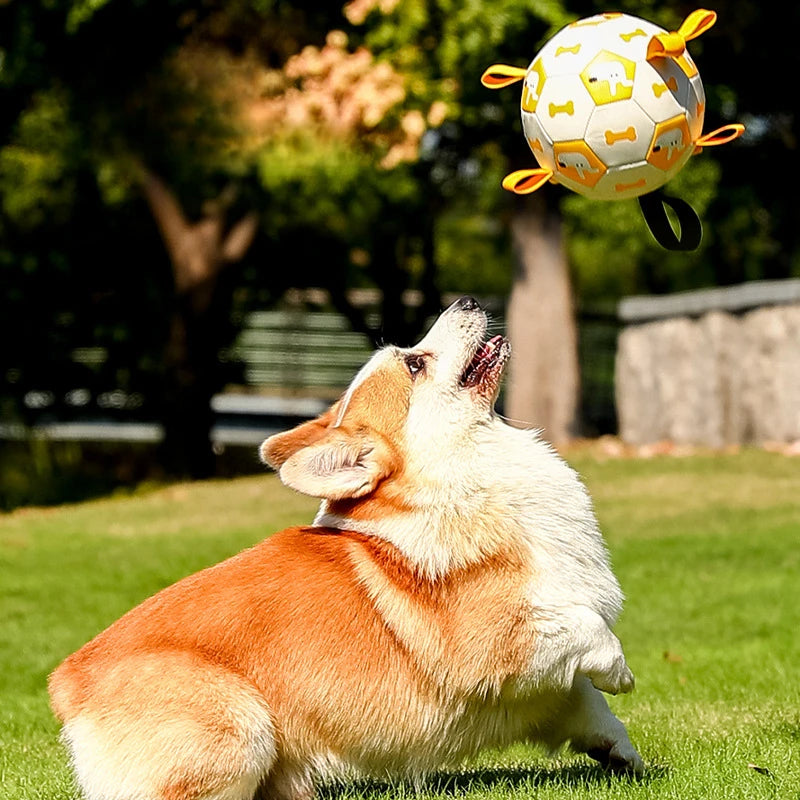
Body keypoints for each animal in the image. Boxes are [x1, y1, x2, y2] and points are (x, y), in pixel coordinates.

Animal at [48, 298, 636, 800]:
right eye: (416, 363)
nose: (466, 300)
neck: (465, 480)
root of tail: (68, 685)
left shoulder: (548, 682)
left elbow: (587, 703)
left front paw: (622, 753)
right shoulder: (499, 645)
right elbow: (591, 633)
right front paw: (622, 673)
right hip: (241, 724)